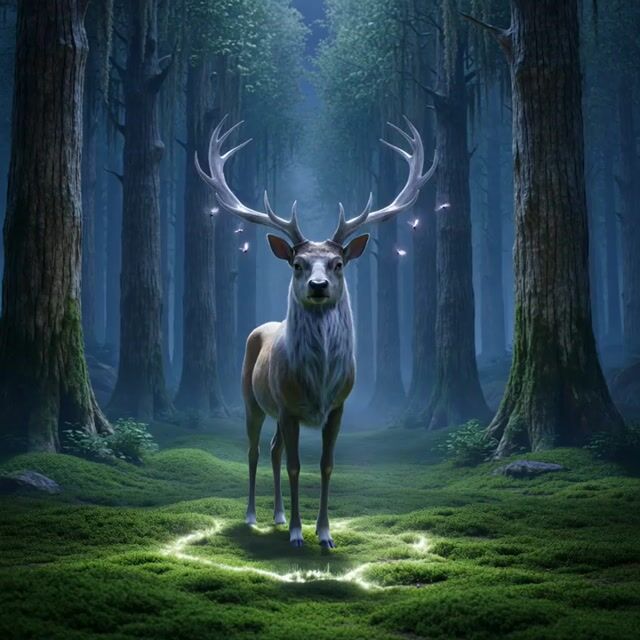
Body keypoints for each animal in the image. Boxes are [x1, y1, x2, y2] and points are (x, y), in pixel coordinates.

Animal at [195, 116, 437, 548]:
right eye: (298, 263)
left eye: (338, 263)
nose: (319, 285)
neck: (318, 383)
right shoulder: (288, 407)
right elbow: (295, 466)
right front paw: (296, 533)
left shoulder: (339, 406)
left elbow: (325, 465)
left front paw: (324, 533)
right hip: (251, 398)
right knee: (255, 450)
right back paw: (255, 516)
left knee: (272, 449)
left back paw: (276, 515)